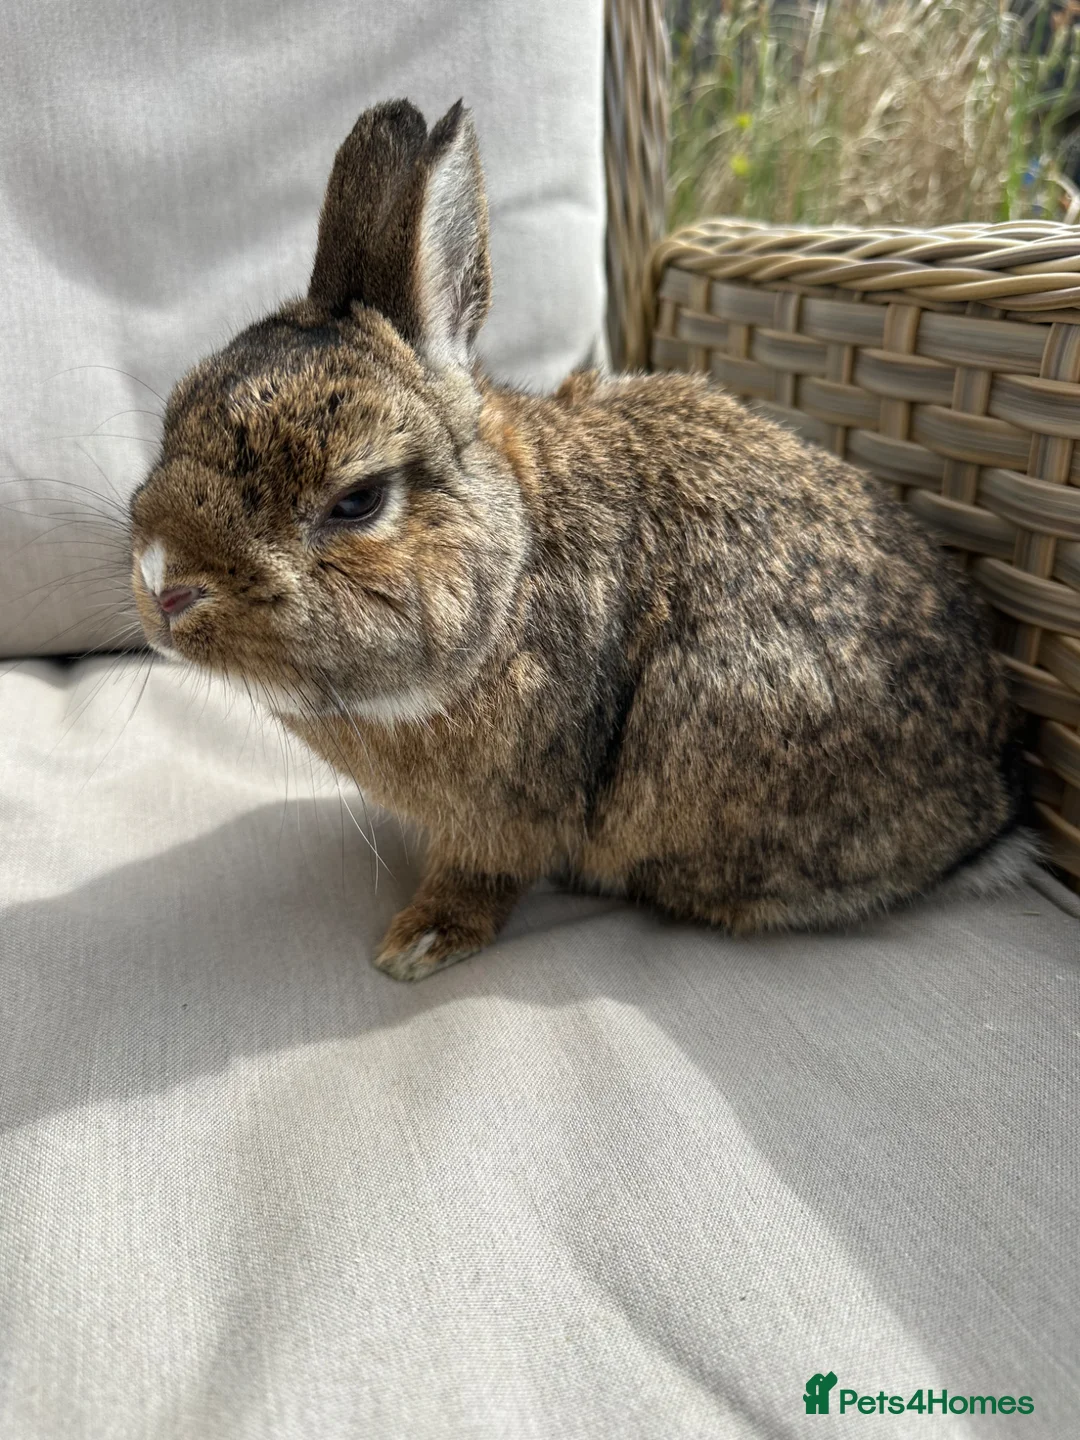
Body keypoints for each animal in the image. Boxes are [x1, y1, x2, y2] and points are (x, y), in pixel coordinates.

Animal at [129, 98, 1031, 981]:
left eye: (358, 500)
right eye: (174, 416)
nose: (165, 581)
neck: (512, 567)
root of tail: (990, 805)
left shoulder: (507, 816)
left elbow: (481, 879)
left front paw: (418, 944)